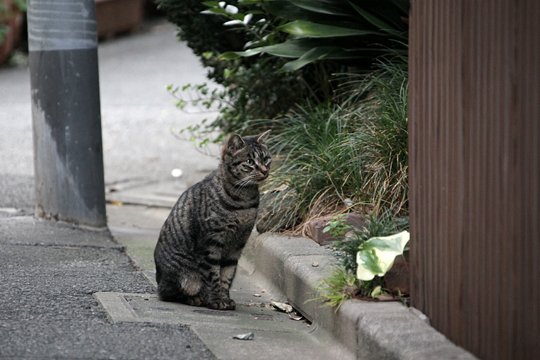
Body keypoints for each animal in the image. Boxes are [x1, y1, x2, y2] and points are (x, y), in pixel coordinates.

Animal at [154, 131, 272, 310]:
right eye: (250, 162)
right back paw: (195, 299)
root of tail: (158, 277)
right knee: (168, 292)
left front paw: (225, 299)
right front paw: (216, 300)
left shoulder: (238, 244)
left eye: (266, 159)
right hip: (187, 277)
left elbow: (227, 275)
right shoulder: (211, 242)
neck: (243, 200)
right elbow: (213, 275)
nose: (265, 170)